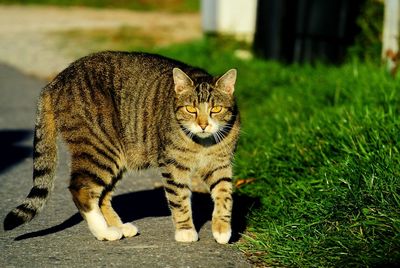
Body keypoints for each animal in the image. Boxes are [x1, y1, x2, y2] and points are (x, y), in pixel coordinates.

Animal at [3, 50, 241, 245]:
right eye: (191, 109)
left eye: (216, 109)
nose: (203, 125)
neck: (203, 143)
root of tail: (56, 80)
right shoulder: (172, 165)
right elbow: (179, 198)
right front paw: (185, 231)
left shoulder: (220, 164)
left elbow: (224, 194)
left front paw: (222, 229)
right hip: (100, 149)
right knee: (81, 189)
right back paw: (104, 232)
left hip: (116, 156)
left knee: (102, 195)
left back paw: (118, 227)